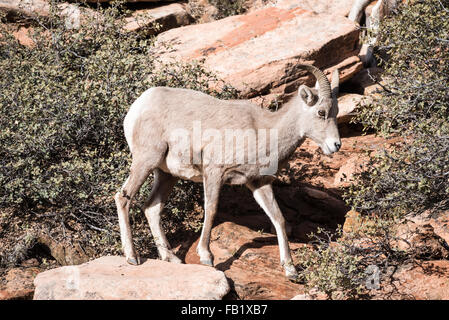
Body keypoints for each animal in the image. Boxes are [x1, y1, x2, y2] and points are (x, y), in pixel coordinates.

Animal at [114, 63, 340, 278]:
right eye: (321, 112)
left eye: (336, 112)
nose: (336, 145)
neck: (263, 131)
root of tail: (138, 106)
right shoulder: (214, 172)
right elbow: (212, 209)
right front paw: (206, 257)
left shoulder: (259, 183)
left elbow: (279, 219)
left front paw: (291, 270)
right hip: (146, 161)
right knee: (123, 197)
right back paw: (132, 257)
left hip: (167, 175)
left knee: (151, 208)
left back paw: (171, 258)